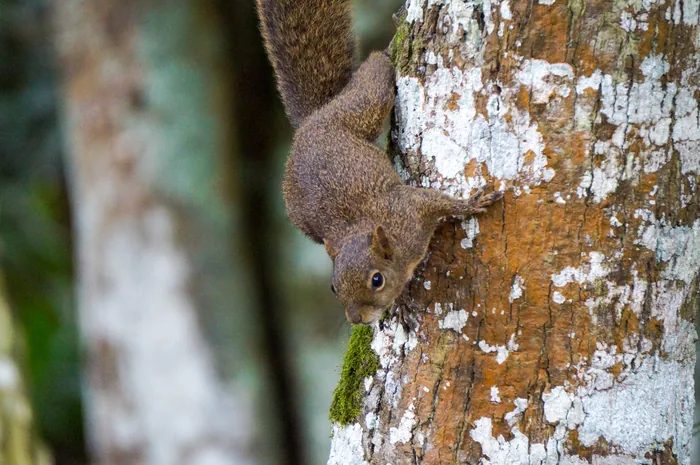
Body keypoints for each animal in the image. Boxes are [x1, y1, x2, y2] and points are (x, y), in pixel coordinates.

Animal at [256, 0, 503, 326]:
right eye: (334, 287)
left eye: (377, 280)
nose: (356, 319)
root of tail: (310, 122)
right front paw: (402, 304)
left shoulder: (411, 210)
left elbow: (438, 201)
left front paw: (472, 204)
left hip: (363, 107)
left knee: (373, 77)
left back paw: (389, 47)